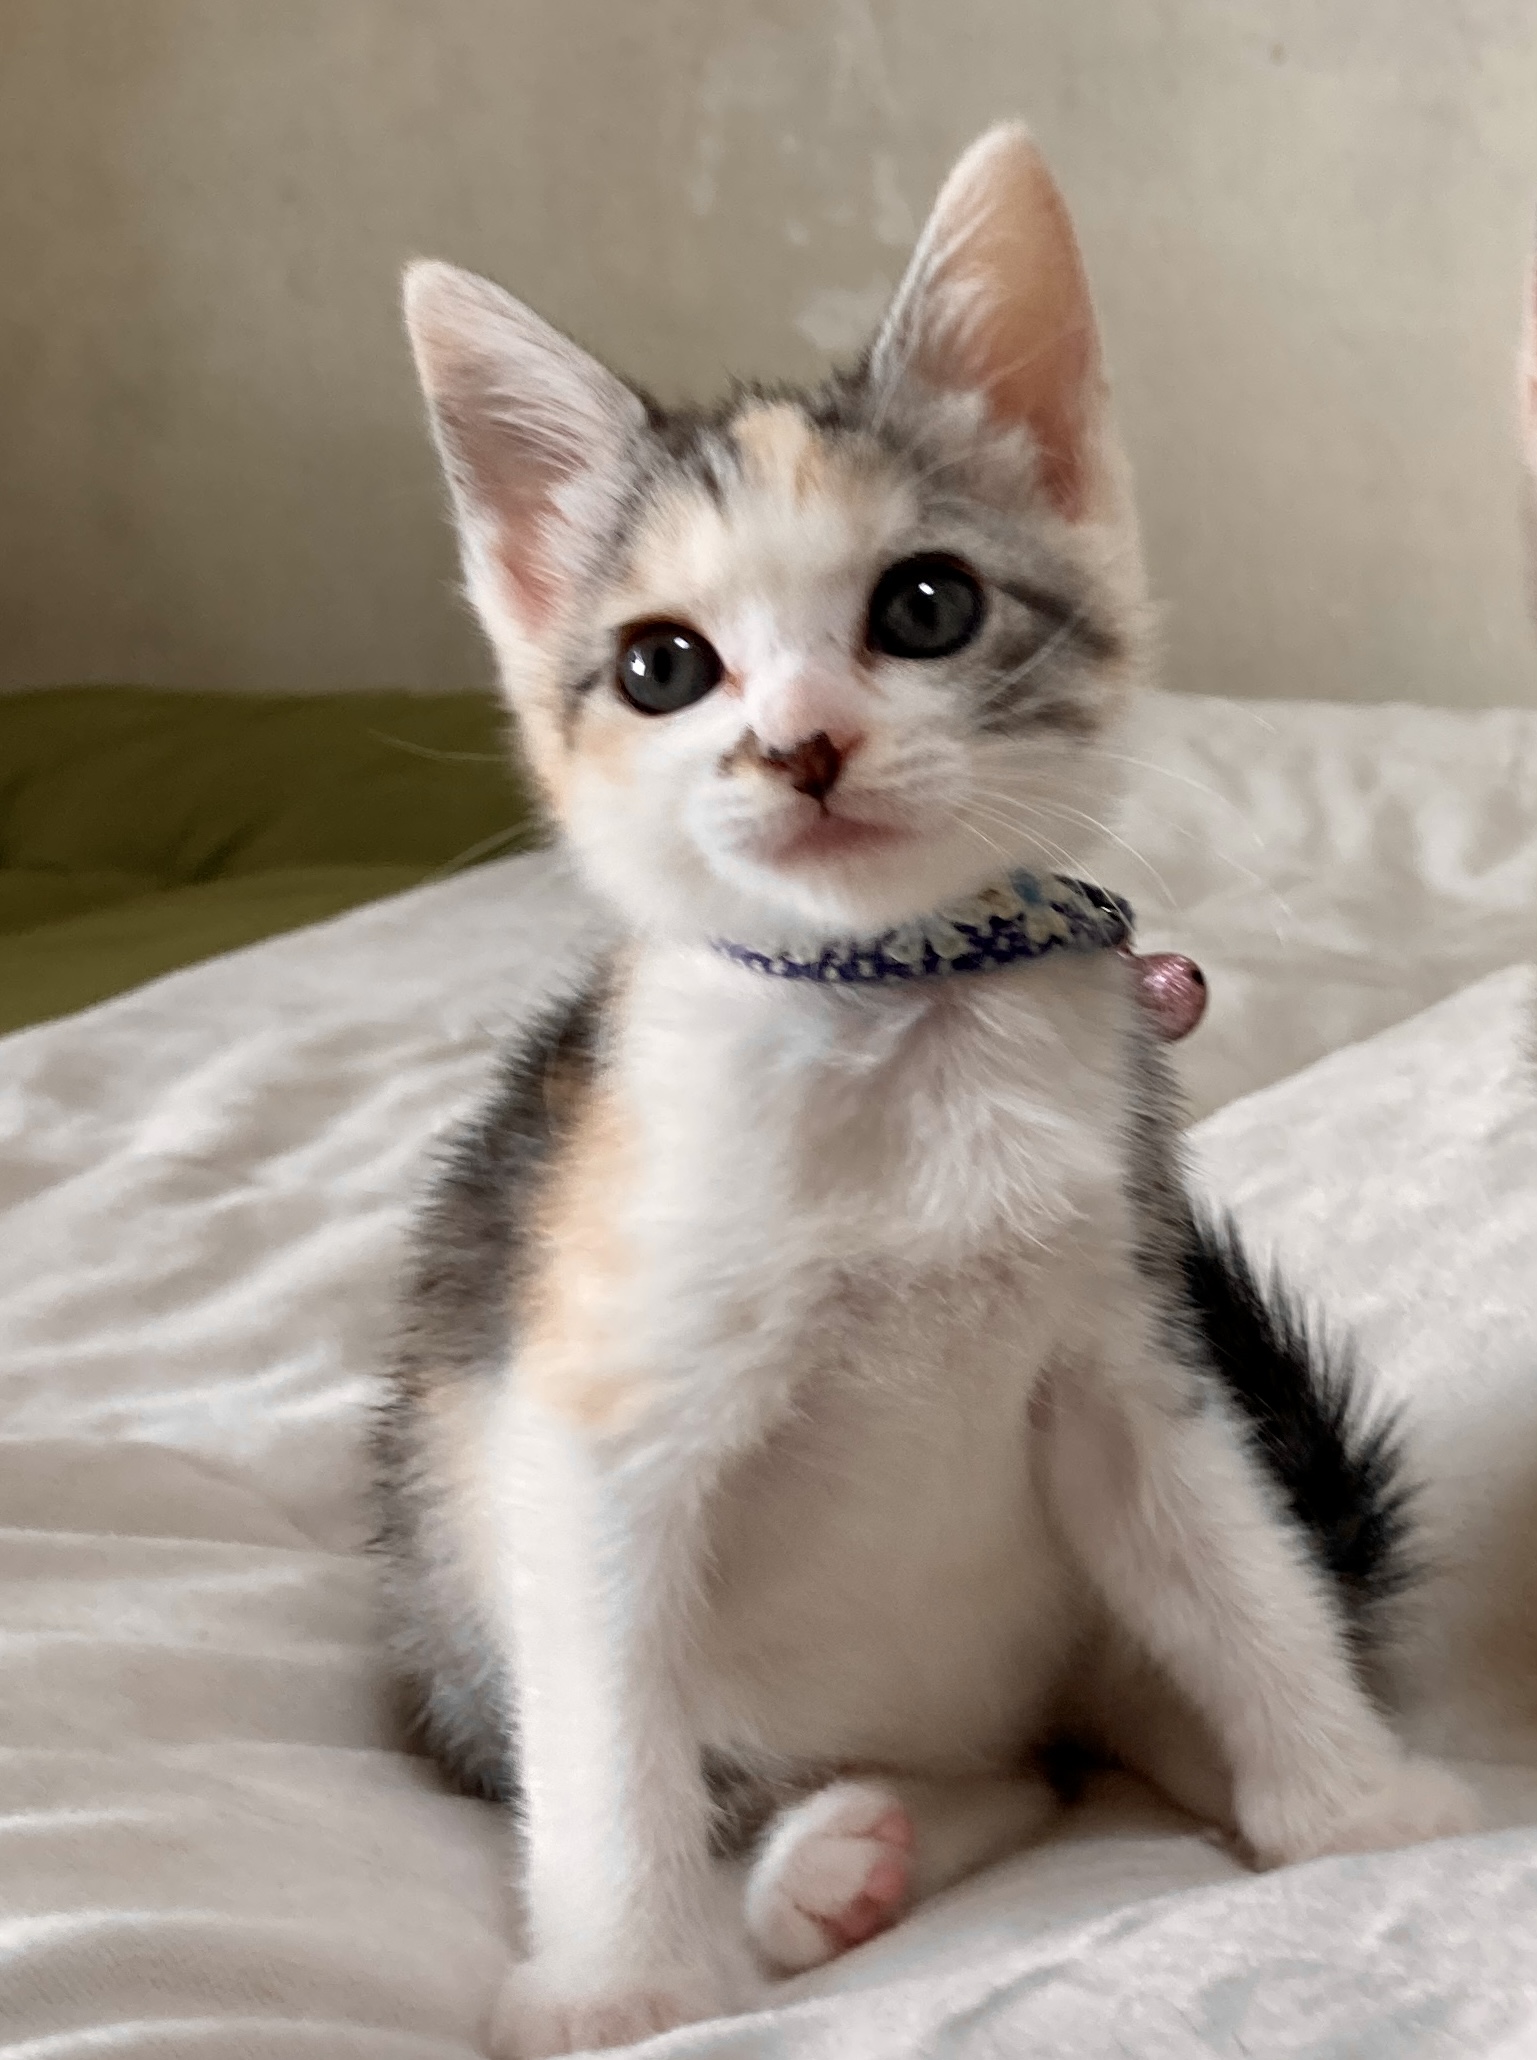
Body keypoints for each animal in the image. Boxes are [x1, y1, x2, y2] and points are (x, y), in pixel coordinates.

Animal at [376, 124, 1478, 2058]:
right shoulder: (590, 1423)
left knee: (1057, 1759)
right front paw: (624, 1981)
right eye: (662, 665)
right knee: (797, 1761)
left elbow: (1236, 1571)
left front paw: (1346, 1805)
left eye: (925, 605)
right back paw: (819, 1867)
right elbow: (607, 1735)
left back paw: (947, 1829)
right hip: (456, 1576)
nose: (799, 744)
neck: (902, 1023)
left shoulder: (1128, 1363)